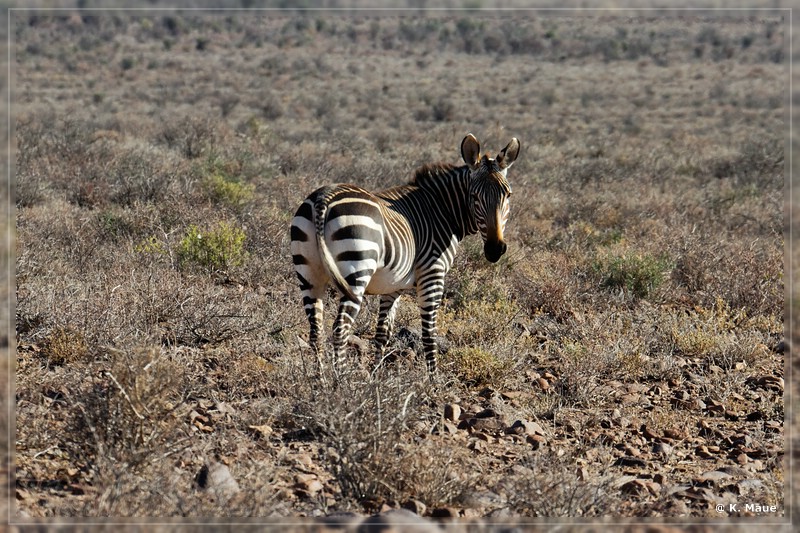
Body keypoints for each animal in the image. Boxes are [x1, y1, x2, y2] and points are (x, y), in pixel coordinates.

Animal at [290, 133, 520, 372]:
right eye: (474, 196)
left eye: (508, 195)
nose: (495, 249)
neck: (441, 209)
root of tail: (323, 198)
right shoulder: (432, 274)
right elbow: (429, 335)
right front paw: (433, 378)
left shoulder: (393, 286)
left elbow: (383, 333)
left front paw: (375, 375)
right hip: (356, 271)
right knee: (340, 329)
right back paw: (341, 379)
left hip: (308, 275)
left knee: (316, 332)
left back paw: (321, 379)